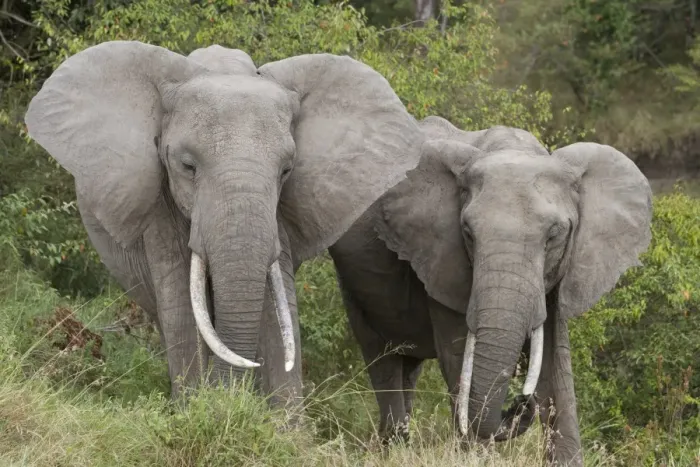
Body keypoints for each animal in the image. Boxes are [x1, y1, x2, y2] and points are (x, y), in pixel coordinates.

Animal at [24, 40, 424, 408]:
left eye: (286, 170)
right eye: (187, 166)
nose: (227, 397)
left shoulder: (279, 217)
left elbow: (276, 309)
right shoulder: (160, 206)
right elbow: (184, 308)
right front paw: (199, 411)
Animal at [327, 115, 652, 465]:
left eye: (554, 235)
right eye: (468, 233)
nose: (519, 404)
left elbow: (554, 364)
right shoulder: (441, 255)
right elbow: (458, 355)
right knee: (382, 358)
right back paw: (394, 448)